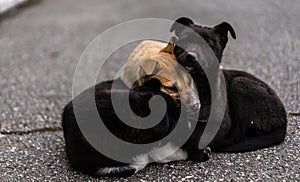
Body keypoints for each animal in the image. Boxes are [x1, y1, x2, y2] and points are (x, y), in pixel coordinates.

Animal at [170, 17, 288, 152]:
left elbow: (196, 136)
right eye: (185, 40)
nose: (191, 56)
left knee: (238, 133)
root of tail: (283, 120)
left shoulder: (221, 124)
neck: (197, 82)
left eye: (209, 45)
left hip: (240, 84)